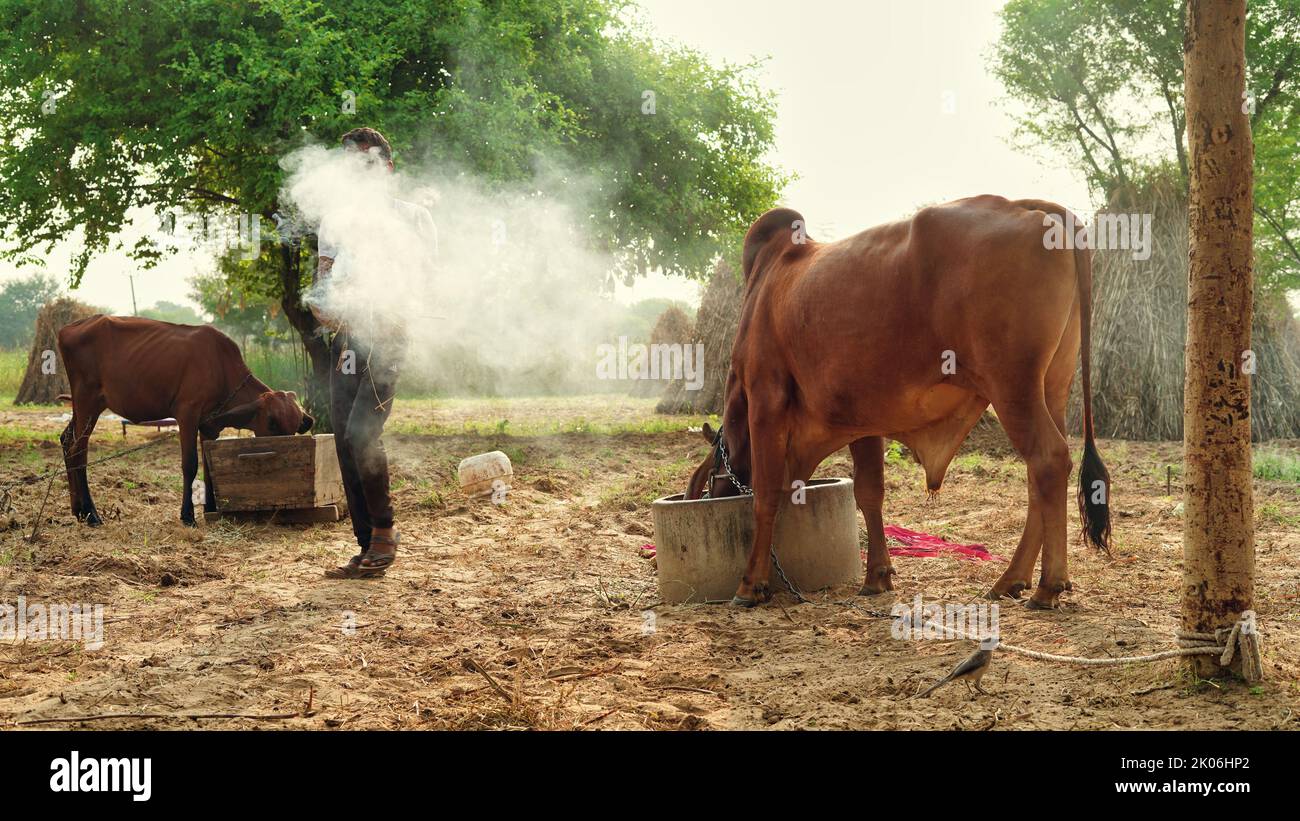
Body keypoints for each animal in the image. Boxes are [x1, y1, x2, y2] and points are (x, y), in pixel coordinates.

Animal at [55, 314, 314, 524]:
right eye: (271, 422)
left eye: (295, 425)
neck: (221, 366)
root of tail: (68, 328)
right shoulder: (187, 413)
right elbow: (190, 464)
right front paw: (188, 516)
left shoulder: (208, 426)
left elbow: (209, 466)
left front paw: (211, 509)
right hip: (87, 401)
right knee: (79, 450)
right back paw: (91, 514)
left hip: (86, 407)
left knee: (67, 440)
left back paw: (78, 510)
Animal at [686, 196, 1112, 610]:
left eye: (705, 481)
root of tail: (1028, 206)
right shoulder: (859, 419)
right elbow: (869, 493)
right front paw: (877, 576)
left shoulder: (765, 397)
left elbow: (765, 495)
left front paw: (750, 584)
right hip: (1051, 387)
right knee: (1038, 475)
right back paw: (1011, 580)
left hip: (1012, 386)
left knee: (1049, 460)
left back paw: (1047, 586)